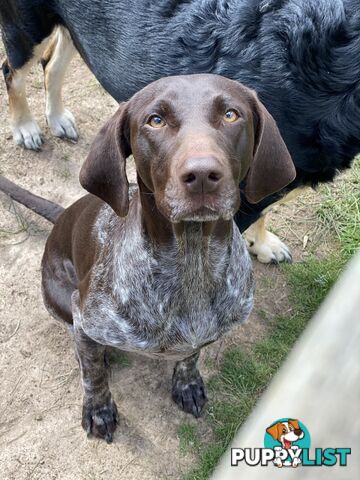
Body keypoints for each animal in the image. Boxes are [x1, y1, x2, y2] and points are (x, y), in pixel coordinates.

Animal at [2, 0, 360, 262]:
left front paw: (262, 244)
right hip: (27, 27)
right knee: (12, 72)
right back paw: (26, 127)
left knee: (53, 63)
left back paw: (57, 117)